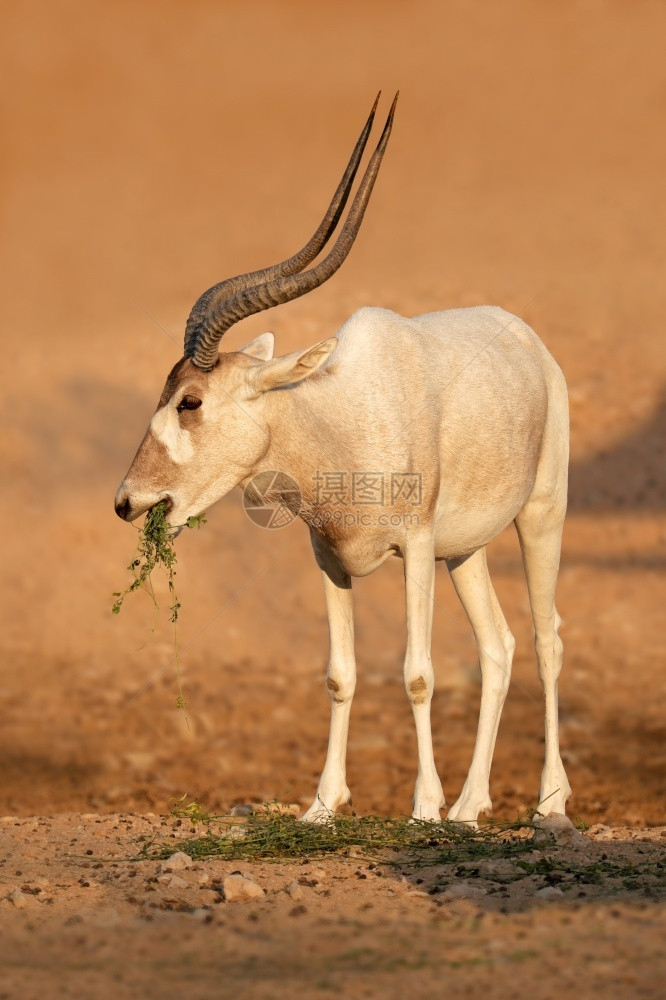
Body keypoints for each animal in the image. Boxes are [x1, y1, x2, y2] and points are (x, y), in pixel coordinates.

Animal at [115, 94, 572, 824]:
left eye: (189, 401)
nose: (129, 501)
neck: (336, 419)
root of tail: (527, 339)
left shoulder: (414, 548)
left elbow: (417, 674)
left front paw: (421, 807)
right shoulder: (329, 559)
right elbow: (340, 674)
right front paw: (323, 804)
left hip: (540, 516)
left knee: (545, 640)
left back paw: (548, 801)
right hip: (464, 553)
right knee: (497, 647)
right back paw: (471, 806)